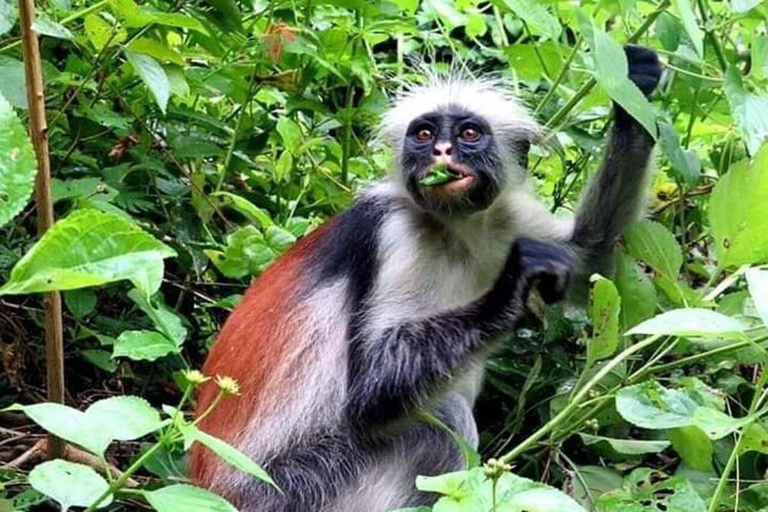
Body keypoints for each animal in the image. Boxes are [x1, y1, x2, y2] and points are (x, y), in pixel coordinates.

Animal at [189, 45, 662, 511]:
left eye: (468, 134)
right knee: (438, 420)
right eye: (424, 135)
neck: (455, 230)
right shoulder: (394, 231)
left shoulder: (505, 219)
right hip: (293, 490)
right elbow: (370, 393)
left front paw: (634, 95)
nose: (442, 151)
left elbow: (589, 255)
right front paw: (512, 288)